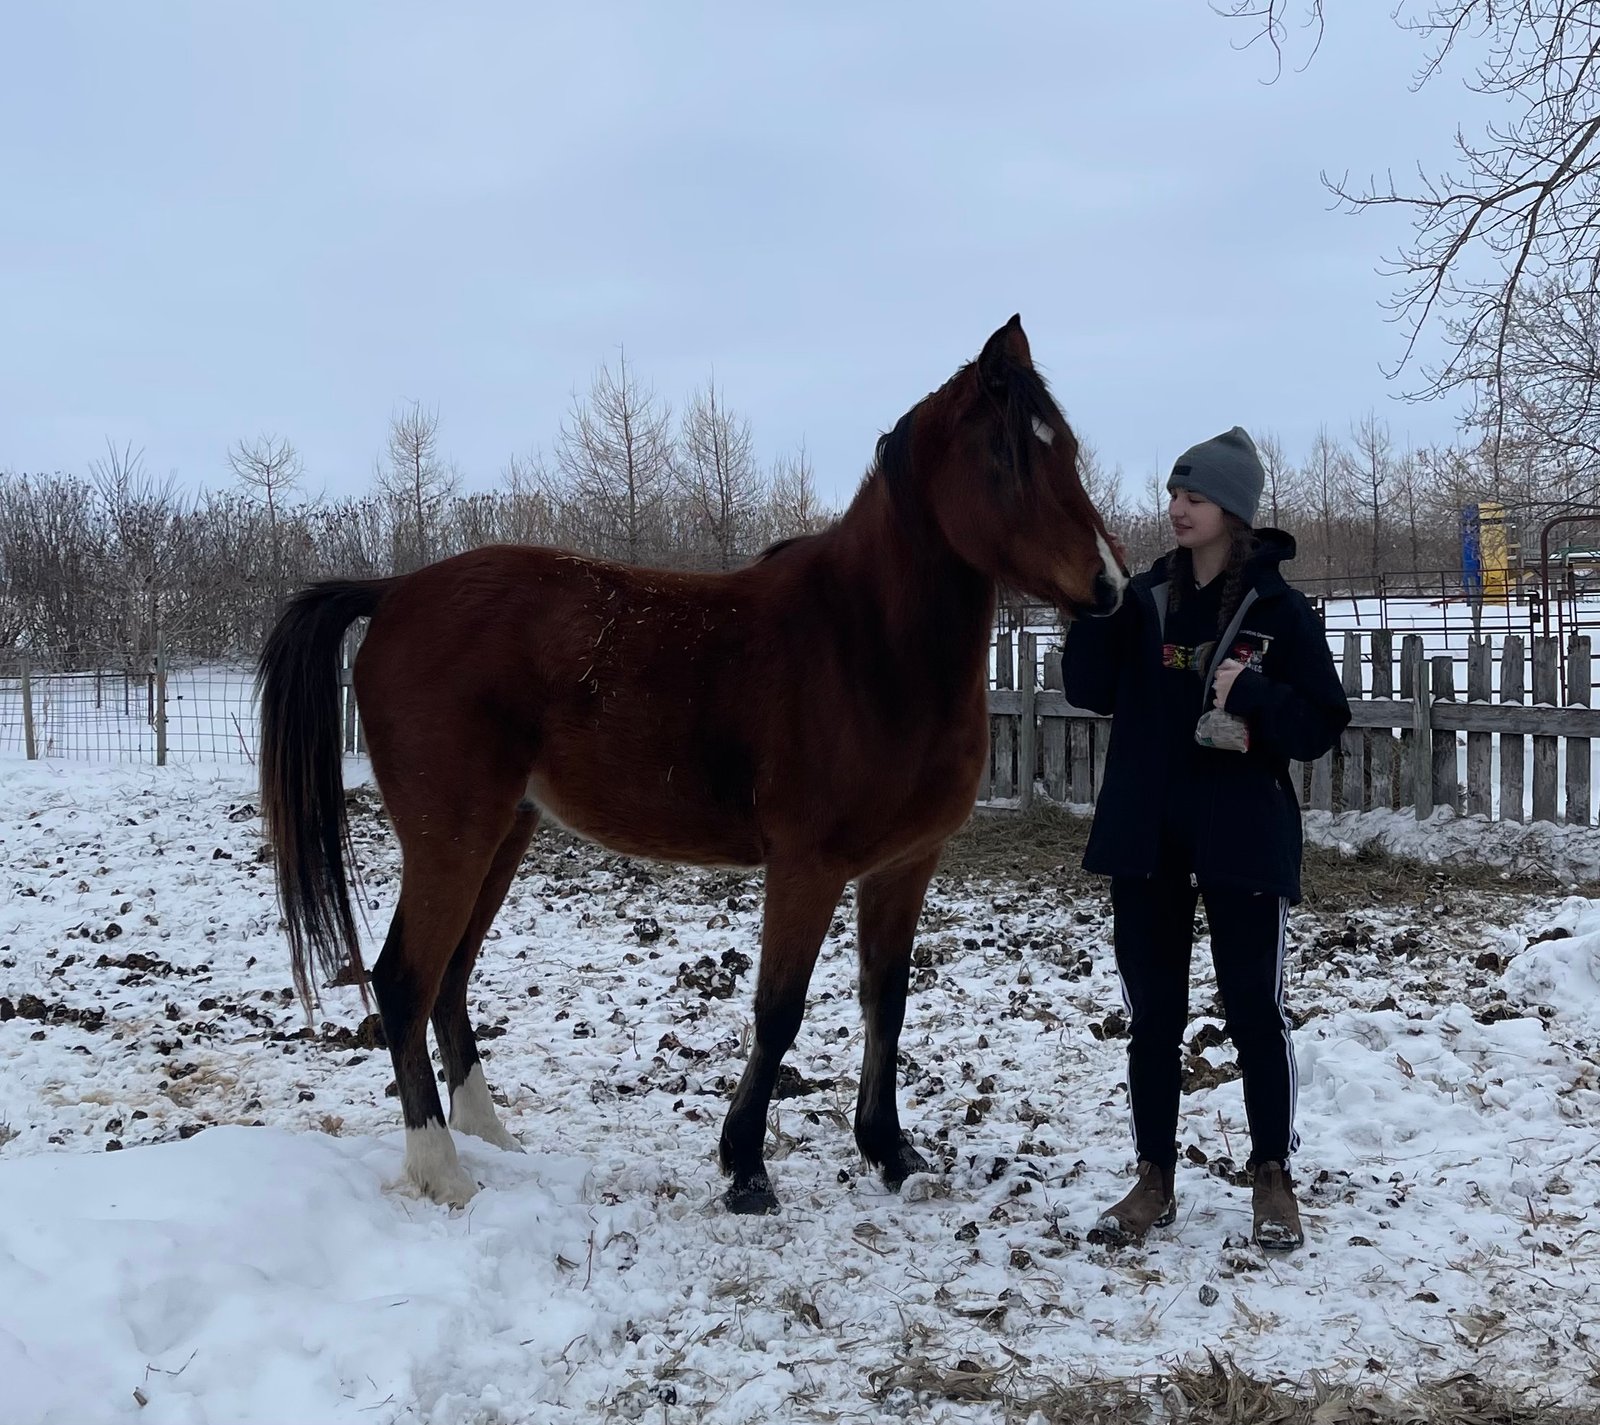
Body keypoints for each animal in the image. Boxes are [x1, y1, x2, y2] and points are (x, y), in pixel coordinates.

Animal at [256, 315, 1125, 1214]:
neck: (863, 644)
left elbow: (885, 1001)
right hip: (451, 838)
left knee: (450, 979)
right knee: (405, 980)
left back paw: (490, 1136)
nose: (1109, 585)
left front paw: (890, 1151)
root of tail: (392, 591)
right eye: (1006, 457)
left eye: (1065, 449)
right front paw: (745, 1165)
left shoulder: (904, 866)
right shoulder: (806, 867)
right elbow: (779, 1010)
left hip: (502, 834)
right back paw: (445, 1170)